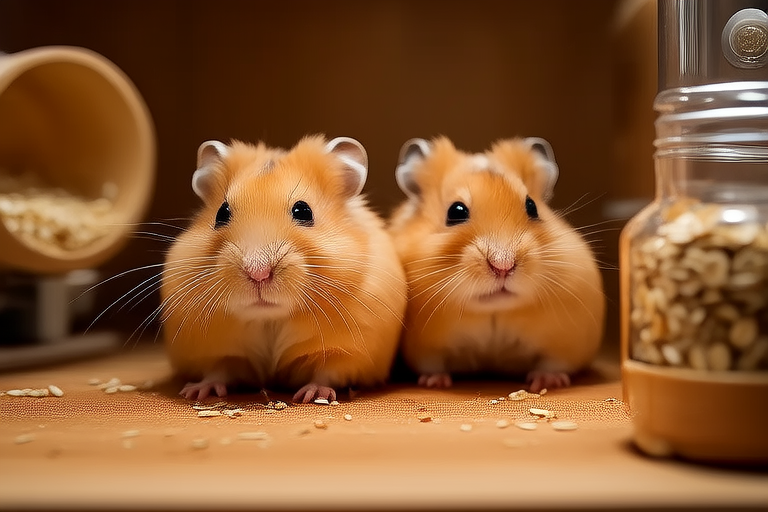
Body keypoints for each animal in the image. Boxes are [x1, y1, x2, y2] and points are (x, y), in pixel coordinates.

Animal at [161, 135, 407, 402]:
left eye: (303, 211)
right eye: (221, 213)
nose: (258, 272)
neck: (269, 318)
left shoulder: (348, 352)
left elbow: (327, 372)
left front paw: (310, 396)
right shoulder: (216, 350)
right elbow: (218, 370)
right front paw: (194, 393)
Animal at [388, 137, 604, 393]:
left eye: (532, 207)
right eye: (456, 211)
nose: (503, 265)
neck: (493, 310)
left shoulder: (563, 343)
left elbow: (552, 364)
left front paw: (545, 382)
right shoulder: (426, 349)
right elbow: (433, 365)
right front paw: (435, 383)